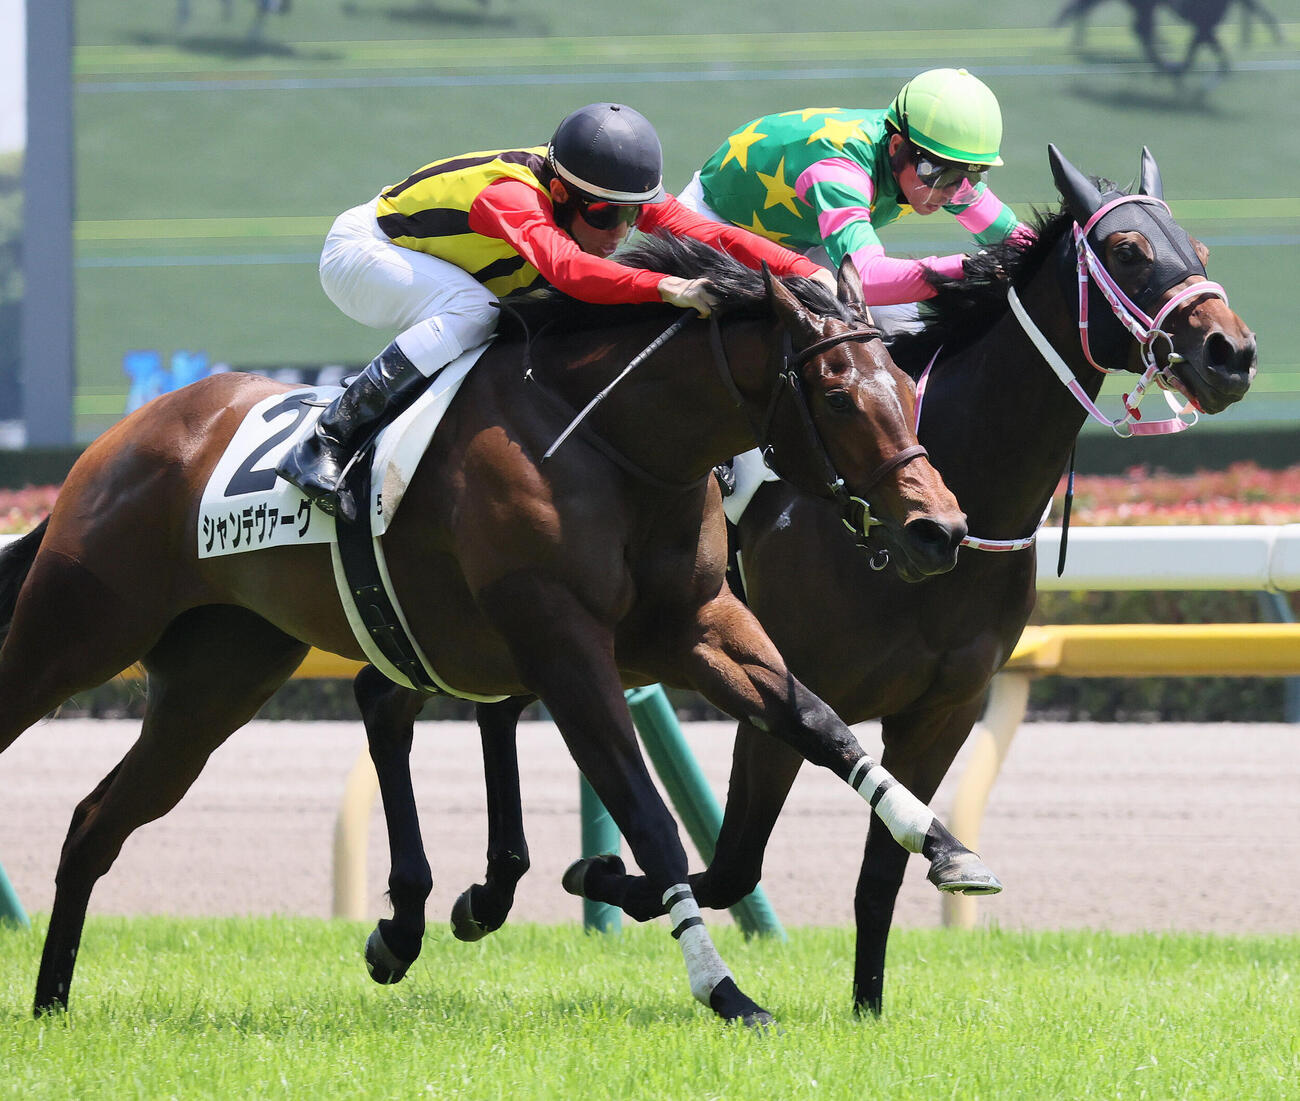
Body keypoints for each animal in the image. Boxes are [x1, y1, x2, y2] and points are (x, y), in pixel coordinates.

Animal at [0, 235, 996, 1024]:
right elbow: (649, 815)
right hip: (75, 631)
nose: (939, 530)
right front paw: (723, 989)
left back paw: (53, 1001)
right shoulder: (564, 644)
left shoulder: (700, 625)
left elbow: (819, 723)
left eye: (905, 382)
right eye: (837, 394)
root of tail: (117, 440)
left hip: (217, 678)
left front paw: (945, 846)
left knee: (97, 821)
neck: (616, 446)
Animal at [367, 143, 1256, 1014]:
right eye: (1128, 251)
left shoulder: (943, 709)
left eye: (1199, 250)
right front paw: (601, 873)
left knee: (491, 706)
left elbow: (880, 871)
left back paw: (484, 890)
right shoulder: (775, 696)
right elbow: (733, 862)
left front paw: (870, 1005)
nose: (1232, 353)